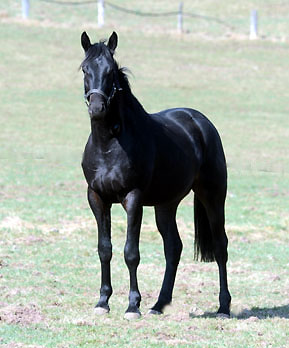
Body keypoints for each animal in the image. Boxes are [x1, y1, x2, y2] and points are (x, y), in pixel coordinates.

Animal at [80, 31, 231, 320]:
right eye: (84, 69)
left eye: (110, 71)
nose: (97, 107)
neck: (109, 144)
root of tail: (200, 121)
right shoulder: (97, 198)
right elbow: (105, 249)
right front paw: (102, 302)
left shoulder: (133, 198)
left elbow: (131, 252)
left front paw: (132, 306)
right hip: (166, 204)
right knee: (173, 248)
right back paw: (159, 304)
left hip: (213, 196)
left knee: (220, 246)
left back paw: (224, 307)